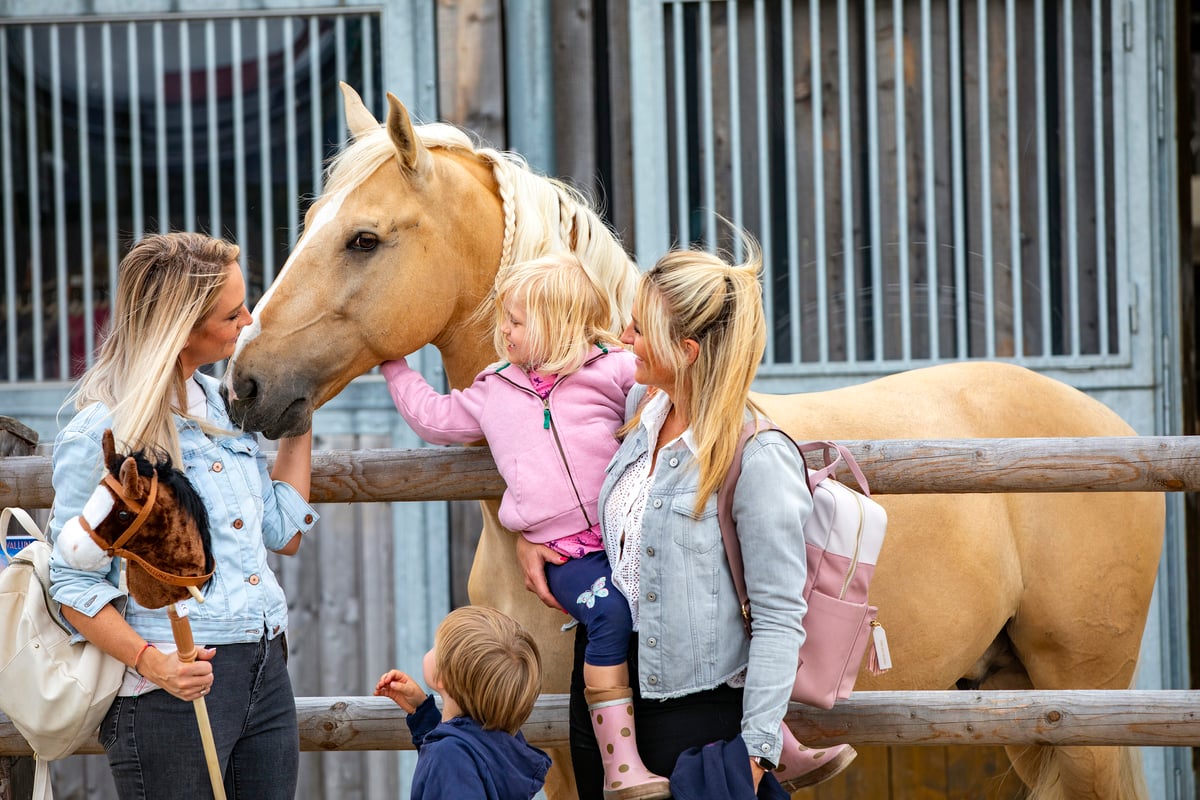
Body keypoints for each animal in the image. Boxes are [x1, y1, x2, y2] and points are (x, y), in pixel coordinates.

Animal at [224, 84, 1165, 800]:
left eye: (365, 238)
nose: (244, 383)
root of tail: (1112, 429)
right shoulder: (547, 749)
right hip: (1017, 707)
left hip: (1081, 715)